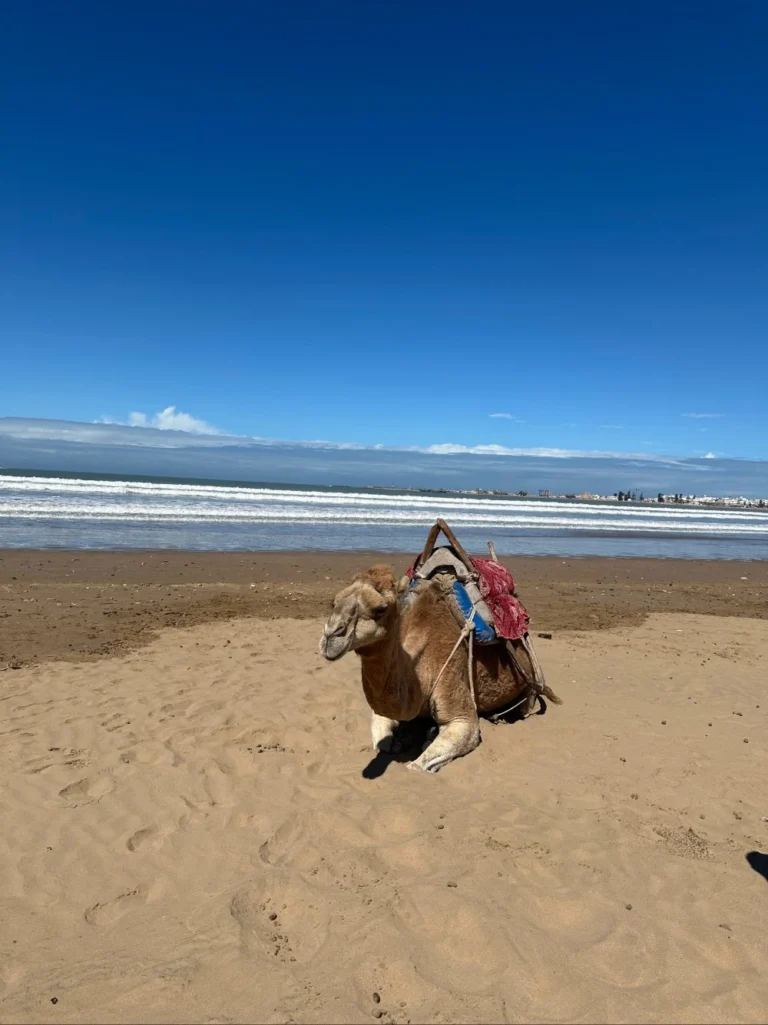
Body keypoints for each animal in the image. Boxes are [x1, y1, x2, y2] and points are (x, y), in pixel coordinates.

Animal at [319, 563, 561, 772]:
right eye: (334, 602)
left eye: (380, 609)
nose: (330, 636)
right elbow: (382, 742)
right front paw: (398, 742)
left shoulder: (458, 702)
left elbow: (416, 766)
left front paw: (426, 742)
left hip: (530, 681)